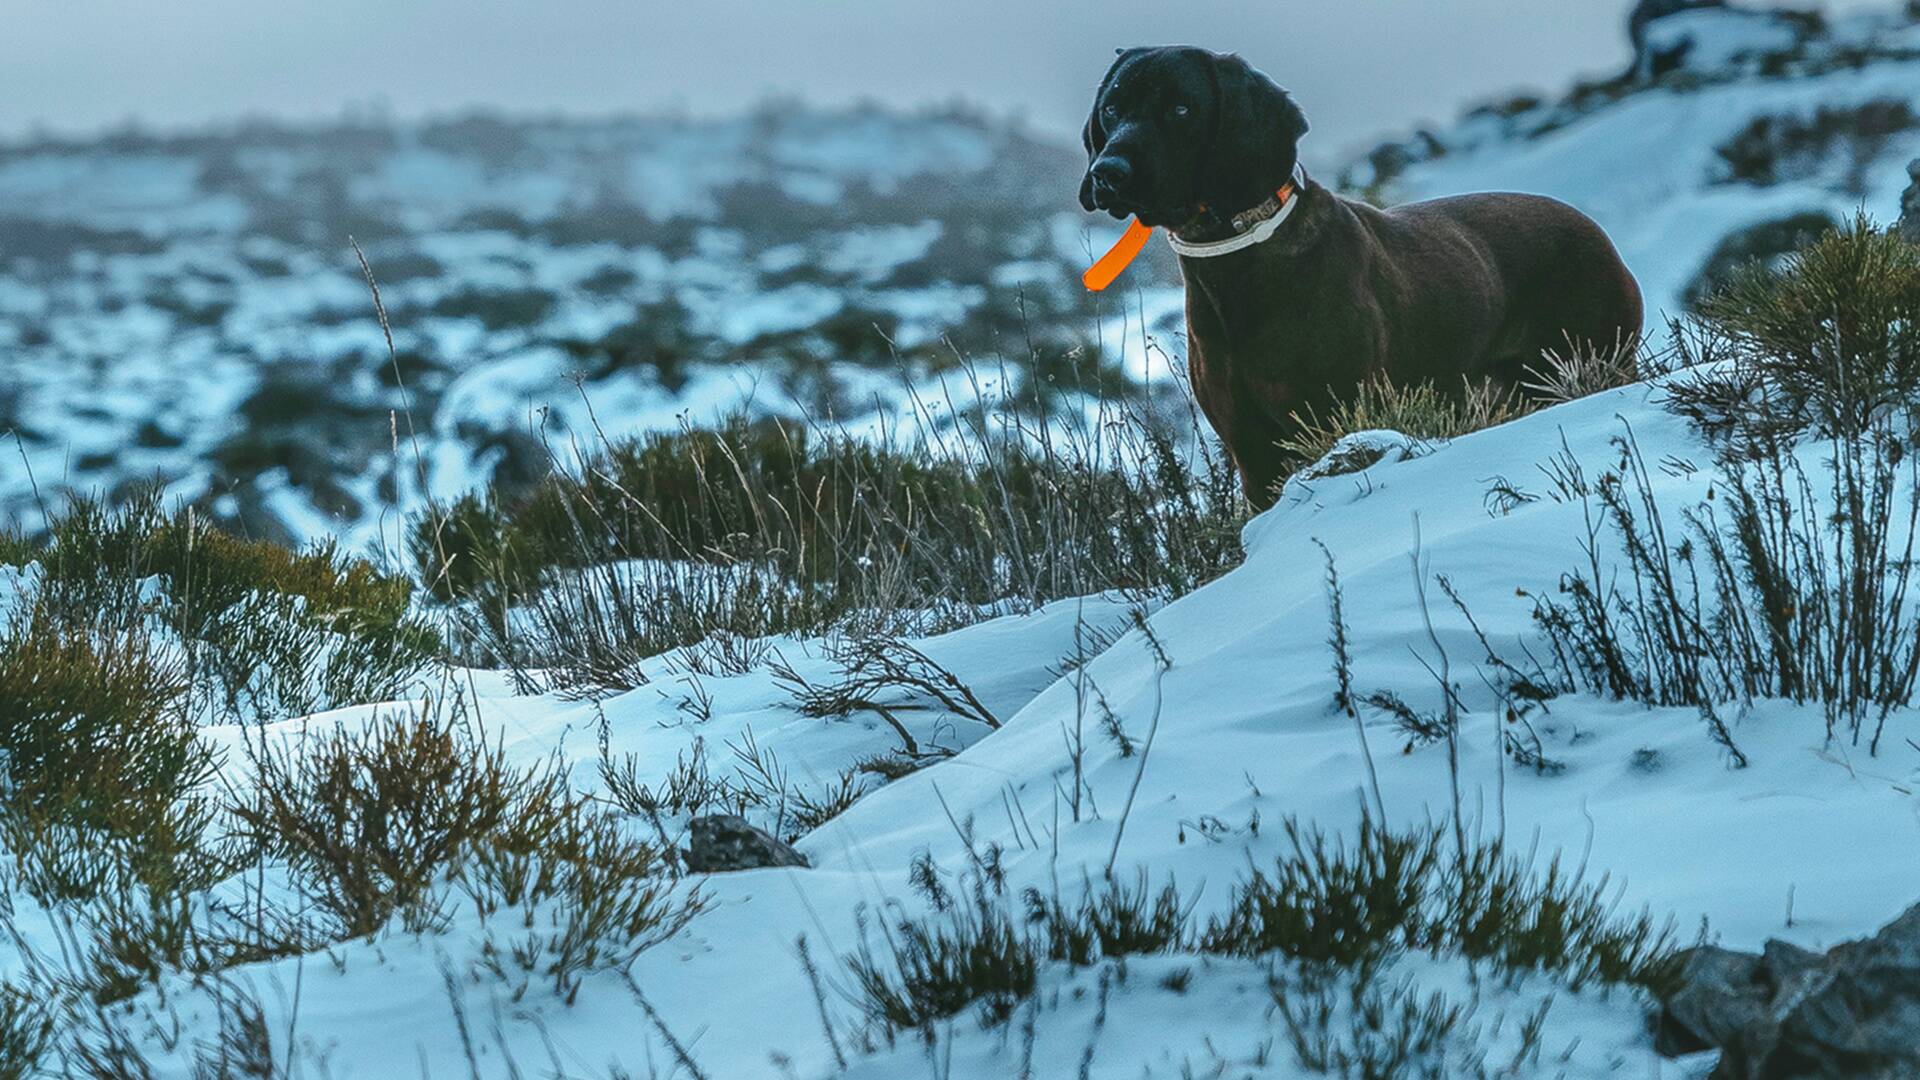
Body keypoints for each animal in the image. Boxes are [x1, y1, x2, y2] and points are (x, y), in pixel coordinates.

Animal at [1075, 46, 1643, 507]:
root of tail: (1594, 229)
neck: (1239, 260)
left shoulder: (1337, 414)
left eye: (1180, 109)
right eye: (1111, 109)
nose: (1109, 172)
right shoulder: (1251, 449)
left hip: (1594, 357)